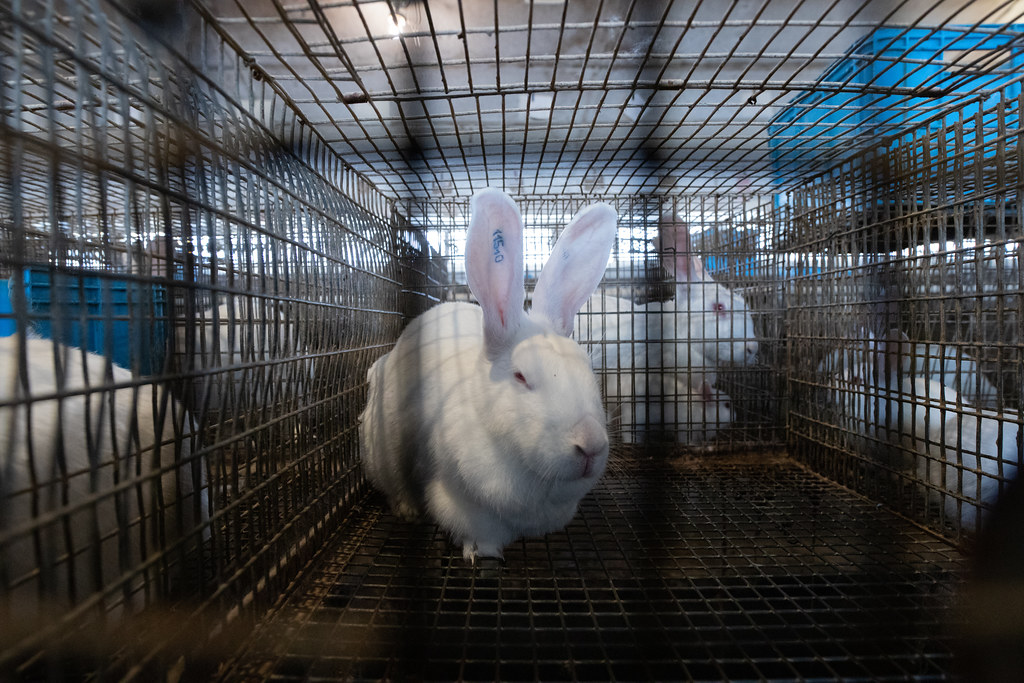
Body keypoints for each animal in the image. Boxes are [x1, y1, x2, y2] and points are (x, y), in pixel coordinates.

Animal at [359, 188, 617, 562]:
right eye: (520, 376)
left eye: (588, 370)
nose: (591, 445)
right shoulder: (459, 501)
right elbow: (480, 534)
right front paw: (483, 554)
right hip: (383, 455)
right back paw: (408, 511)